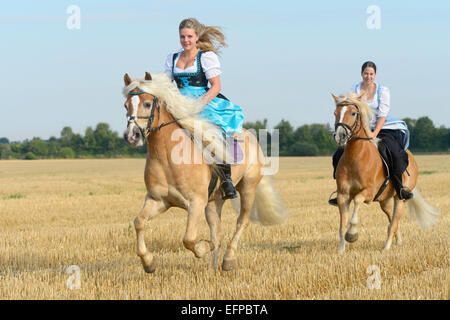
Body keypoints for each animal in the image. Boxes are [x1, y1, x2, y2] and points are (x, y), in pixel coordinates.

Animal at [121, 72, 288, 272]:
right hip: (214, 201)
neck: (167, 157)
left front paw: (203, 247)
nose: (132, 136)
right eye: (126, 105)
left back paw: (228, 260)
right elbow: (139, 222)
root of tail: (250, 135)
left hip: (248, 187)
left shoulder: (196, 203)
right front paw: (148, 263)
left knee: (242, 221)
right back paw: (213, 268)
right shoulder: (158, 200)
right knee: (218, 231)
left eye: (147, 103)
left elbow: (189, 238)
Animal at [330, 92, 440, 252]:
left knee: (394, 222)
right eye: (335, 113)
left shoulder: (369, 192)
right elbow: (342, 224)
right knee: (391, 220)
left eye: (353, 113)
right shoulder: (342, 195)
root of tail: (410, 156)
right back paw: (398, 242)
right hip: (385, 200)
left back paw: (386, 248)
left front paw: (352, 234)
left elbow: (357, 200)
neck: (355, 158)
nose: (340, 137)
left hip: (400, 199)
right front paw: (341, 251)